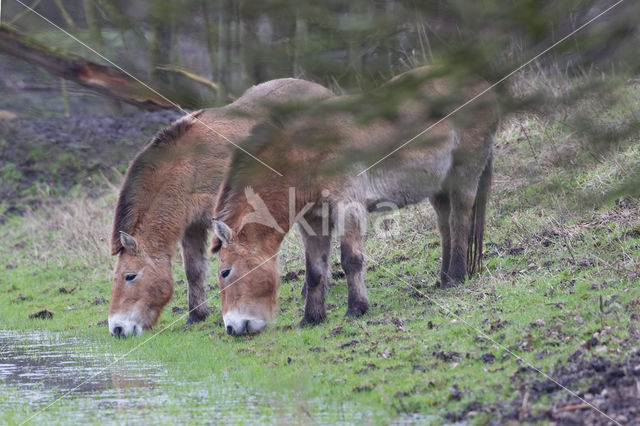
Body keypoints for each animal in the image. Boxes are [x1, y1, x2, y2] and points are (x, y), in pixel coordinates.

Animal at [106, 78, 336, 338]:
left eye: (130, 276)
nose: (117, 328)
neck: (189, 166)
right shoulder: (192, 226)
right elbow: (193, 271)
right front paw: (197, 315)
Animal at [212, 66, 498, 334]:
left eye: (225, 272)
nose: (231, 328)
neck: (306, 153)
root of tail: (480, 82)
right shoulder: (313, 221)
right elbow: (315, 271)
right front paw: (312, 318)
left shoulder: (348, 209)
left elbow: (351, 260)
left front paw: (356, 308)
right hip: (438, 187)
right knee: (445, 227)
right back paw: (444, 279)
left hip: (464, 175)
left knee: (459, 222)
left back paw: (456, 277)